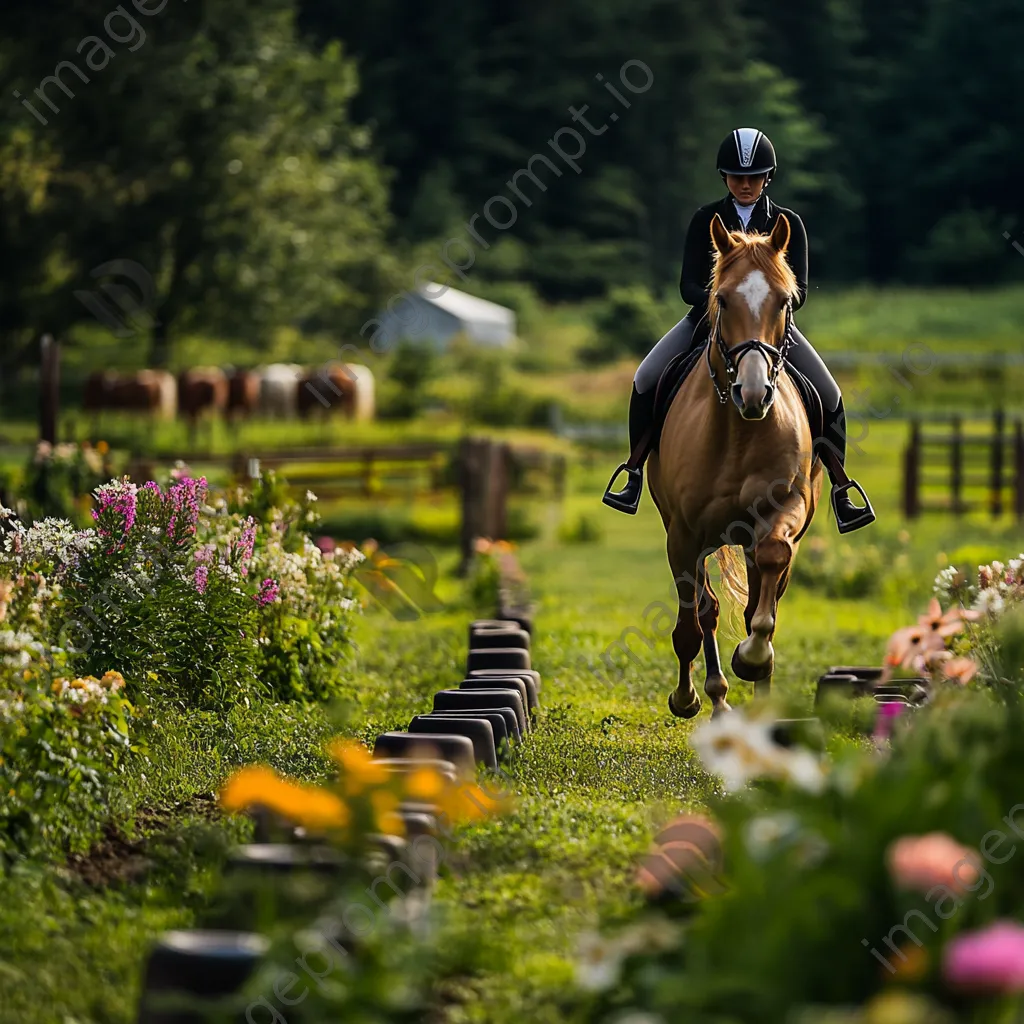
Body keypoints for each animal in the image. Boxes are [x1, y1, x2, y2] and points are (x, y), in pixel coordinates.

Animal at [647, 211, 823, 716]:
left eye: (785, 300)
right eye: (722, 299)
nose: (753, 393)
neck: (739, 433)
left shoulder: (784, 510)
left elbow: (771, 572)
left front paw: (753, 657)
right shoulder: (684, 535)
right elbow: (691, 621)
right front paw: (686, 698)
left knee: (760, 595)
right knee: (706, 609)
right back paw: (714, 699)